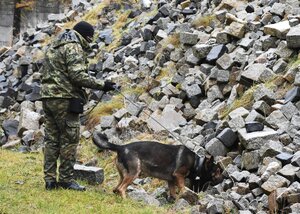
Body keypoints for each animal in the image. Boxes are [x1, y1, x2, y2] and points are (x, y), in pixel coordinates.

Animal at [93, 131, 223, 200]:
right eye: (218, 171)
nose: (223, 178)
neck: (196, 163)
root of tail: (121, 147)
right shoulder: (178, 175)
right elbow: (182, 187)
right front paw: (187, 194)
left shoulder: (171, 180)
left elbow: (173, 192)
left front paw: (174, 200)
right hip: (134, 172)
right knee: (121, 188)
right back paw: (126, 201)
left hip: (124, 175)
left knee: (116, 189)